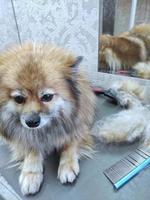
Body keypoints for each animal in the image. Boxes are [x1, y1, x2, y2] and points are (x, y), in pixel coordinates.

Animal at [0, 43, 95, 195]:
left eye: (47, 97)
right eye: (19, 99)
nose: (32, 122)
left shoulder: (78, 127)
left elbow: (70, 144)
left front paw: (67, 165)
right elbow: (31, 149)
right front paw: (31, 173)